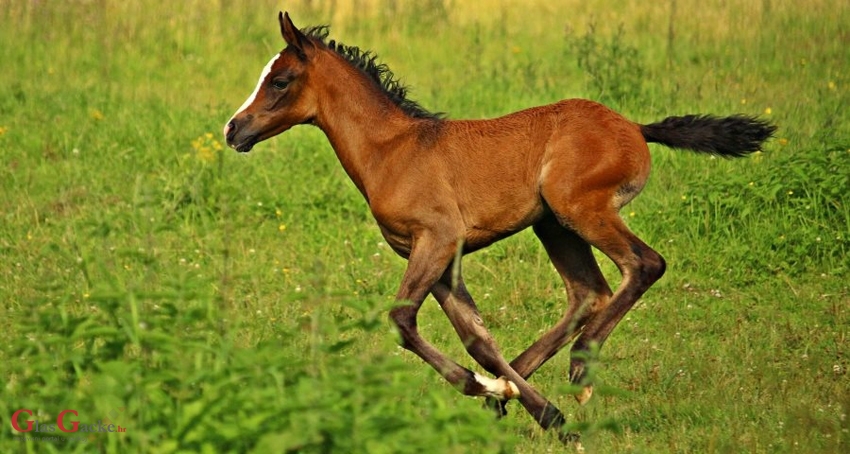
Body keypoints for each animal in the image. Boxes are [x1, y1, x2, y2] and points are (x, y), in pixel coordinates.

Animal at [222, 10, 772, 436]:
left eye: (280, 80)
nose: (233, 130)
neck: (392, 150)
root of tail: (635, 128)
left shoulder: (438, 239)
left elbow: (403, 322)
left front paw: (500, 393)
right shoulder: (437, 257)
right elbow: (479, 341)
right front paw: (524, 403)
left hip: (582, 210)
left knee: (644, 264)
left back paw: (580, 365)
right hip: (553, 225)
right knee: (587, 290)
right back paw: (519, 394)